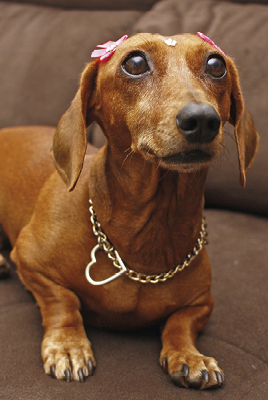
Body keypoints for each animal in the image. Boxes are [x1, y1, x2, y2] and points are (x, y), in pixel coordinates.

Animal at [0, 32, 260, 390]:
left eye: (216, 64)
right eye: (134, 63)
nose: (202, 120)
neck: (150, 228)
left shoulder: (202, 302)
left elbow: (180, 323)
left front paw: (189, 356)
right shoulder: (29, 260)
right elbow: (63, 302)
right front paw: (68, 345)